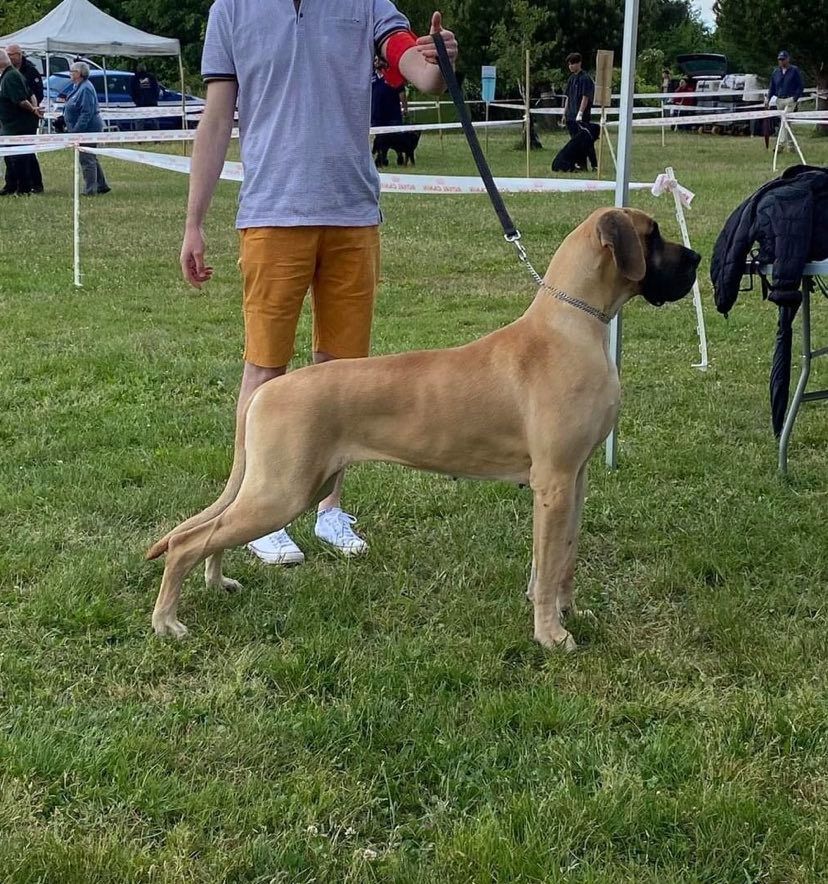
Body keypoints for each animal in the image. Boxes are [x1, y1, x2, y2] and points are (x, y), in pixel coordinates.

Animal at [147, 207, 700, 648]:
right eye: (653, 235)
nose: (695, 259)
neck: (574, 325)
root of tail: (266, 392)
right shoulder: (555, 483)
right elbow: (547, 568)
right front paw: (551, 635)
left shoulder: (575, 480)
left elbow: (562, 559)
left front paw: (569, 612)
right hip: (280, 492)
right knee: (187, 542)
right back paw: (167, 622)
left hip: (282, 488)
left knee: (207, 532)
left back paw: (217, 584)